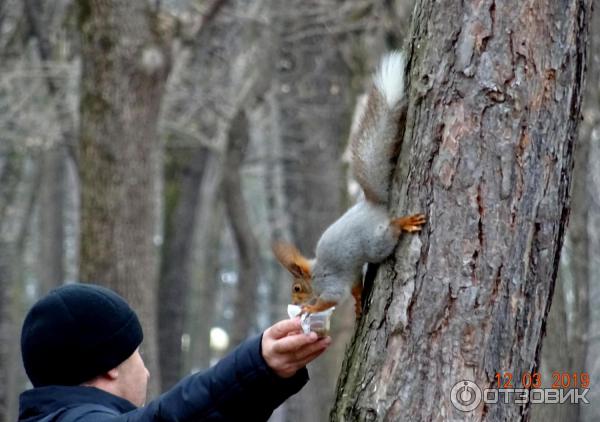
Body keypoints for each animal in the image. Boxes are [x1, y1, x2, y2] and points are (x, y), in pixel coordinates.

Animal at [274, 51, 424, 318]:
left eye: (297, 288)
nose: (294, 303)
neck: (315, 273)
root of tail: (372, 205)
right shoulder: (350, 275)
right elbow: (355, 286)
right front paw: (357, 302)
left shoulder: (331, 283)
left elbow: (331, 299)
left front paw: (311, 309)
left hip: (374, 243)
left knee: (389, 235)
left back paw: (403, 222)